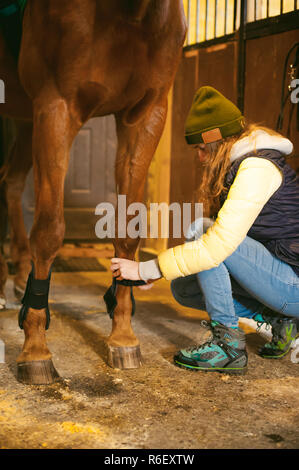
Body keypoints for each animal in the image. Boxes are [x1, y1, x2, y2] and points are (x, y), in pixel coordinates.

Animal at [0, 0, 188, 384]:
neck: (128, 14)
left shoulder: (145, 115)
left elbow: (128, 231)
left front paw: (123, 338)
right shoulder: (56, 108)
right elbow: (49, 232)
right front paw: (36, 350)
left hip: (25, 120)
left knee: (11, 181)